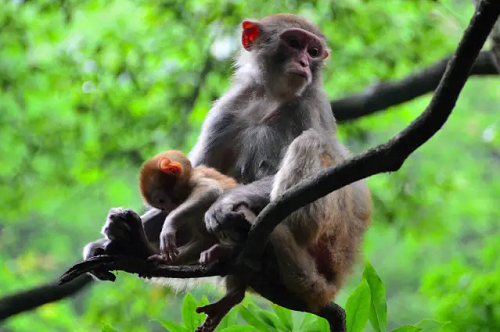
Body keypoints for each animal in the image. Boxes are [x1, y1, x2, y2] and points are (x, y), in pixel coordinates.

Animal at [83, 14, 372, 332]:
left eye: (314, 51)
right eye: (295, 43)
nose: (305, 63)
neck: (270, 97)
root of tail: (333, 280)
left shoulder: (312, 104)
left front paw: (223, 204)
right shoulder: (226, 110)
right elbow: (194, 176)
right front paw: (107, 240)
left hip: (328, 241)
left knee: (313, 144)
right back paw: (139, 244)